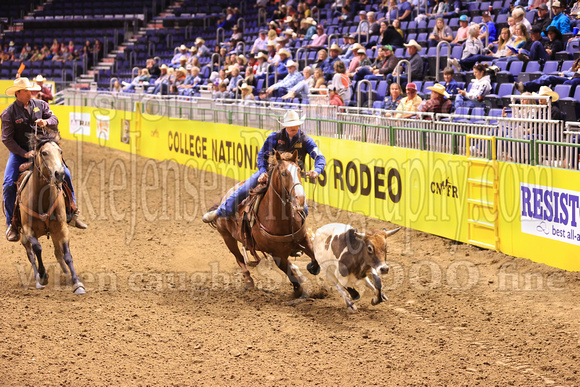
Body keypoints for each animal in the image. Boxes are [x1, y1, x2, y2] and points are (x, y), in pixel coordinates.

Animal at [15, 132, 85, 296]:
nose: (59, 174)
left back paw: (66, 274)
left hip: (53, 232)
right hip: (23, 237)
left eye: (60, 151)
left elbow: (67, 255)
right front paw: (43, 275)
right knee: (31, 254)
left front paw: (76, 282)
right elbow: (38, 248)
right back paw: (38, 280)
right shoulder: (28, 230)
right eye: (44, 152)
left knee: (58, 252)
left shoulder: (62, 228)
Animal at [208, 150, 320, 298]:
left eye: (299, 170)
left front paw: (311, 268)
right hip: (227, 238)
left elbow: (315, 258)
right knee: (239, 258)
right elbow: (288, 272)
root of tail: (223, 198)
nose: (300, 199)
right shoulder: (277, 254)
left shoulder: (303, 240)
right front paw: (298, 290)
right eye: (283, 173)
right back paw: (248, 281)